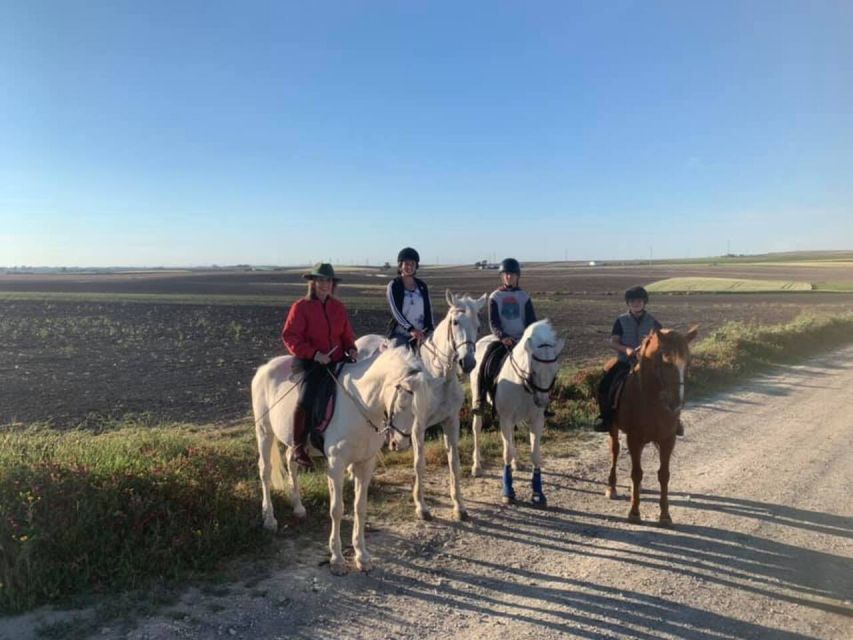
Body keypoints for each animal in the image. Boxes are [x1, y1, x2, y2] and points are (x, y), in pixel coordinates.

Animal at [250, 344, 430, 576]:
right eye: (402, 404)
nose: (401, 443)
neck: (360, 405)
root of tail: (264, 368)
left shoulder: (365, 463)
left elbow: (360, 507)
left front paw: (362, 556)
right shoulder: (336, 464)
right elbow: (337, 509)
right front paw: (336, 559)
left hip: (294, 442)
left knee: (291, 461)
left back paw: (298, 508)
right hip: (264, 431)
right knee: (265, 471)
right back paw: (269, 518)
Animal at [354, 290, 486, 520]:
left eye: (478, 325)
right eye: (455, 322)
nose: (468, 363)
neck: (439, 377)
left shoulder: (451, 422)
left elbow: (454, 462)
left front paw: (459, 506)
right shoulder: (417, 427)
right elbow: (419, 464)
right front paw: (421, 507)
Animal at [470, 318, 564, 504]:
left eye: (555, 371)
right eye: (534, 370)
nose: (542, 402)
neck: (523, 384)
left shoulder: (536, 421)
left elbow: (536, 455)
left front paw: (538, 493)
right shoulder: (505, 418)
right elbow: (506, 453)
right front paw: (508, 492)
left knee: (512, 436)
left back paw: (517, 463)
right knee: (477, 429)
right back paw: (477, 466)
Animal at [604, 324, 696, 524]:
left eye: (688, 363)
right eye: (666, 361)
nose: (676, 404)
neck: (650, 399)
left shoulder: (668, 439)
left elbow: (664, 474)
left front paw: (665, 515)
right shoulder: (634, 439)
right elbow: (636, 473)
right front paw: (634, 512)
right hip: (613, 429)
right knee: (614, 451)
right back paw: (611, 487)